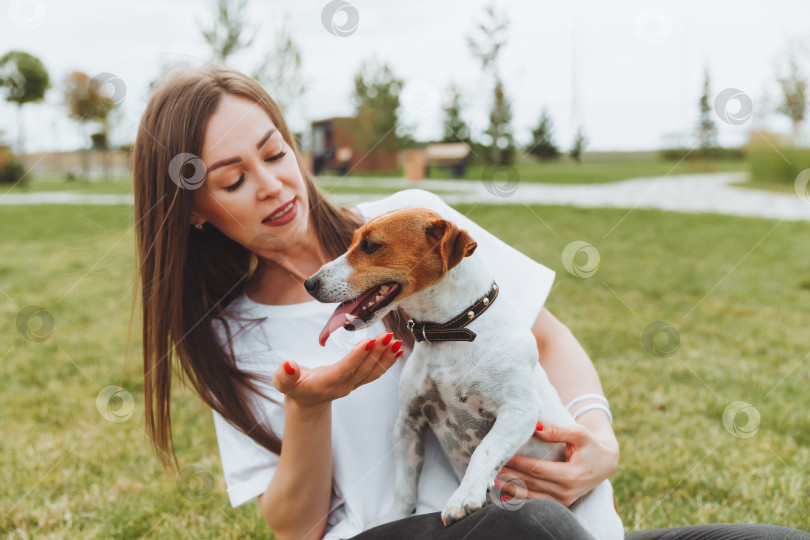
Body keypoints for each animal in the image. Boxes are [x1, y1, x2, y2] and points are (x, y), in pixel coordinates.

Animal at [306, 208, 620, 540]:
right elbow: (404, 485)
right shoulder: (409, 421)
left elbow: (485, 450)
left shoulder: (520, 411)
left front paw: (462, 498)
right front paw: (391, 519)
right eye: (353, 242)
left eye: (370, 246)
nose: (309, 283)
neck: (450, 331)